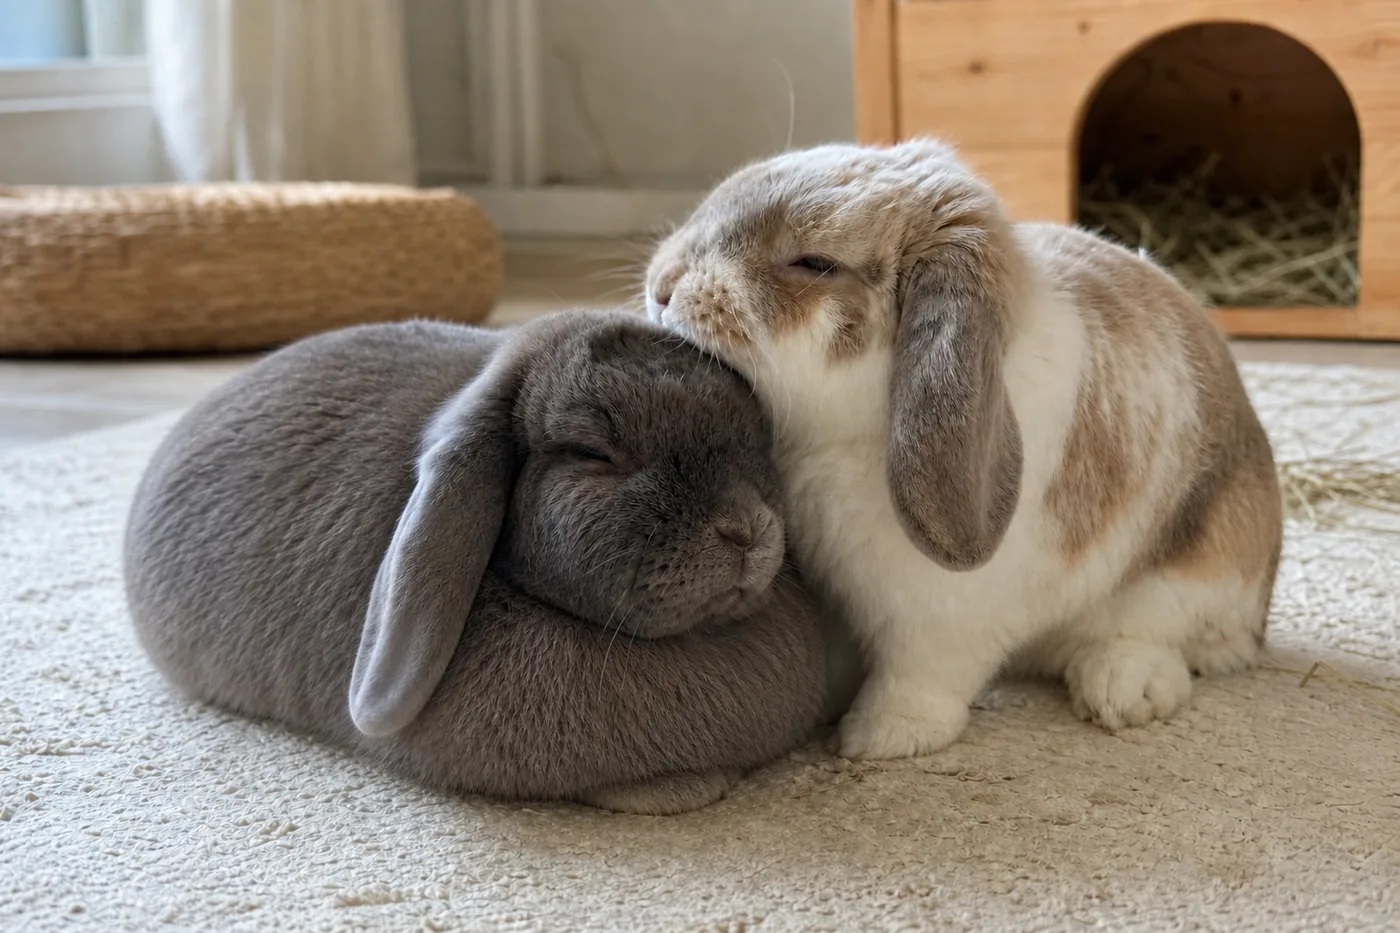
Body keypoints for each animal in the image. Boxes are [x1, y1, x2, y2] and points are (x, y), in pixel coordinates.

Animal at [643, 138, 1283, 762]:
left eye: (815, 263)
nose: (662, 288)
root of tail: (1259, 604)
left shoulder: (937, 616)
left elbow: (920, 674)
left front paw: (881, 737)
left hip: (1189, 576)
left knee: (1162, 639)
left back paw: (1123, 690)